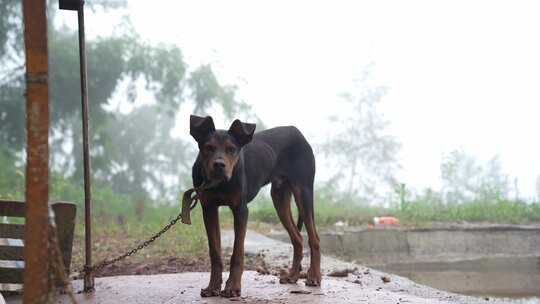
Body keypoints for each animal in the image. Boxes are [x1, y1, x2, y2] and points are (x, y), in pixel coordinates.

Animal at [189, 114, 320, 296]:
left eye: (232, 149)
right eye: (208, 147)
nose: (219, 165)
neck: (220, 184)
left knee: (314, 239)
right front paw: (213, 287)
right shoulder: (209, 209)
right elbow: (214, 252)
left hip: (303, 191)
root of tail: (297, 132)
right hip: (279, 198)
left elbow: (237, 253)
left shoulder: (241, 210)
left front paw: (232, 287)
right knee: (298, 238)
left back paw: (313, 276)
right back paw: (292, 276)